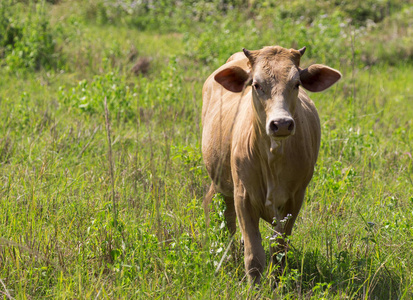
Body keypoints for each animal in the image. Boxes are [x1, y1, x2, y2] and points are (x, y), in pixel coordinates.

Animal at [201, 45, 340, 284]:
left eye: (296, 83)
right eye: (257, 85)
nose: (281, 123)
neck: (273, 159)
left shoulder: (295, 200)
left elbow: (279, 249)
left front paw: (276, 283)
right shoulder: (243, 197)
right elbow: (254, 256)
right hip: (223, 186)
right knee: (227, 221)